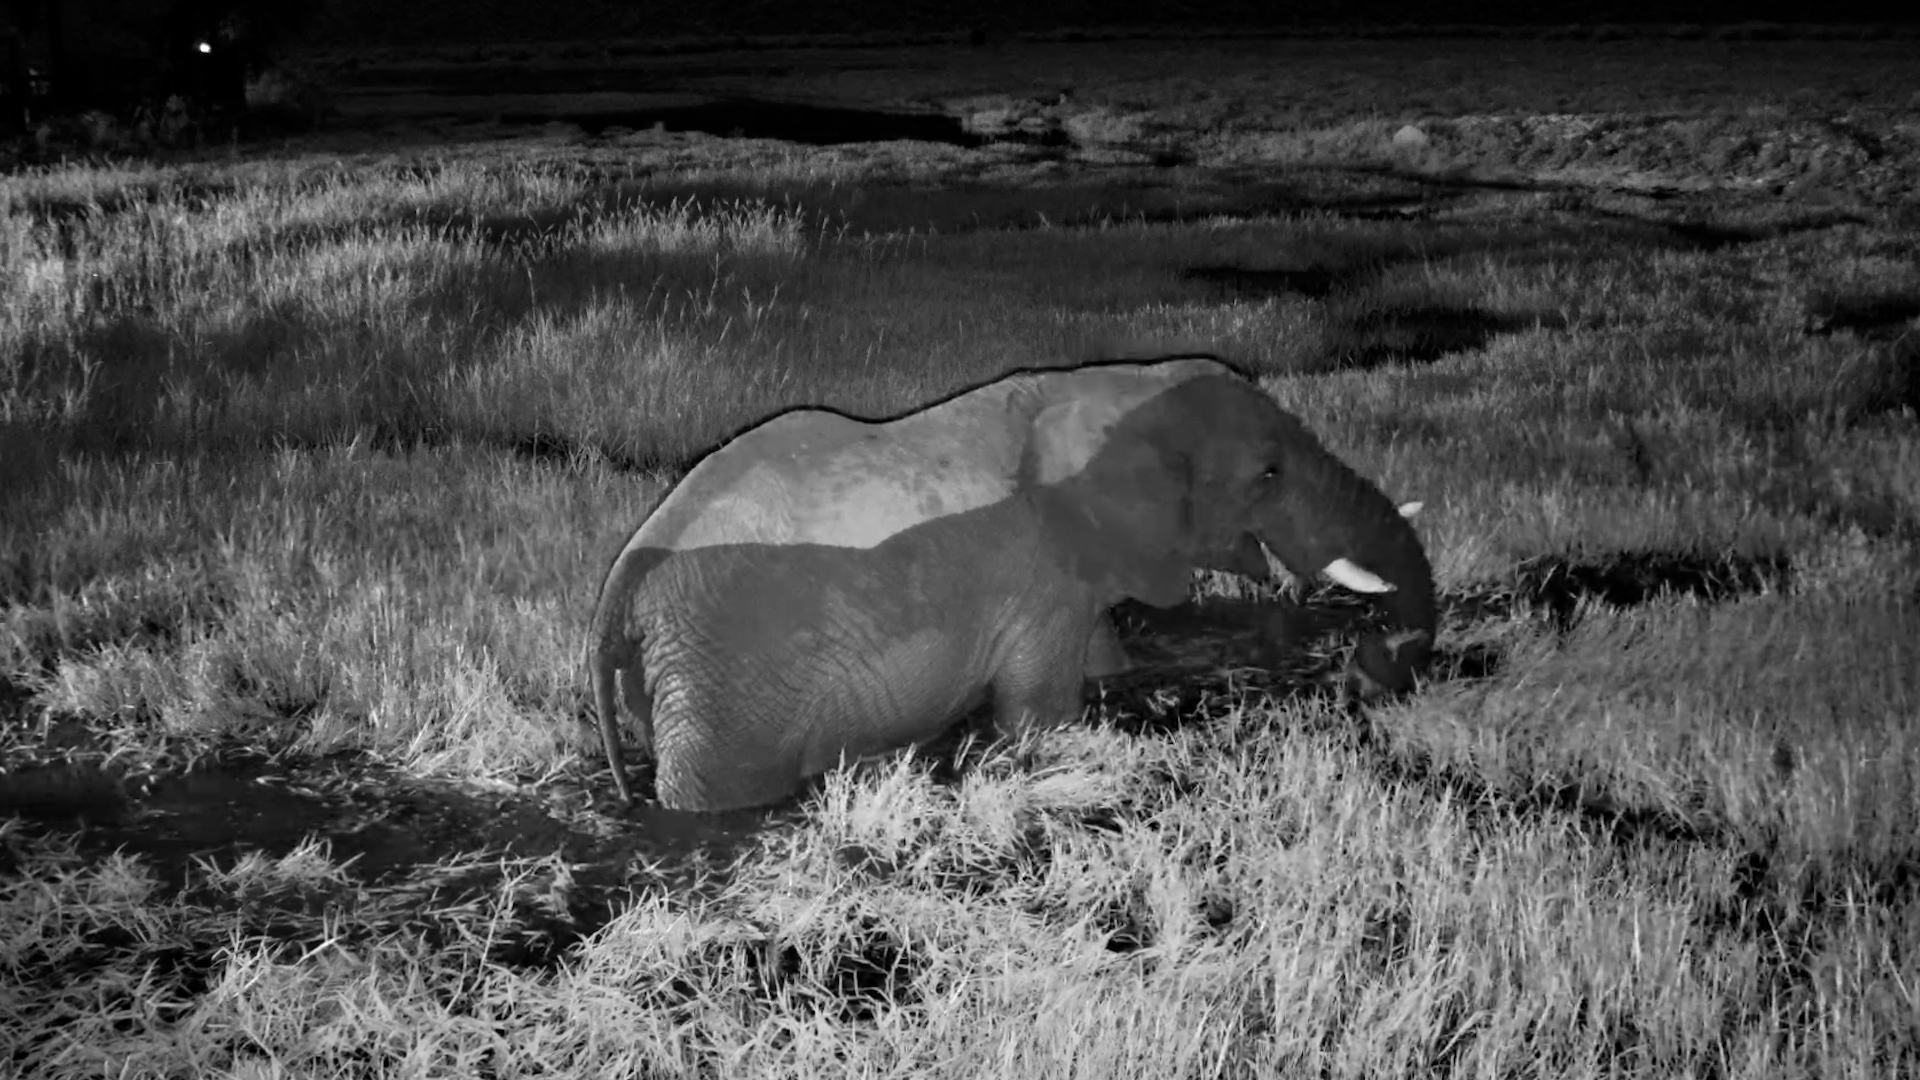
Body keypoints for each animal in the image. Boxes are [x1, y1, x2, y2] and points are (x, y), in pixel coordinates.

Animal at [587, 356, 1435, 812]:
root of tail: (622, 581)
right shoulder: (1037, 571)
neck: (1116, 384)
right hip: (724, 677)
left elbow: (1107, 662)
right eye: (1268, 472)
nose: (1376, 667)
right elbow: (1042, 718)